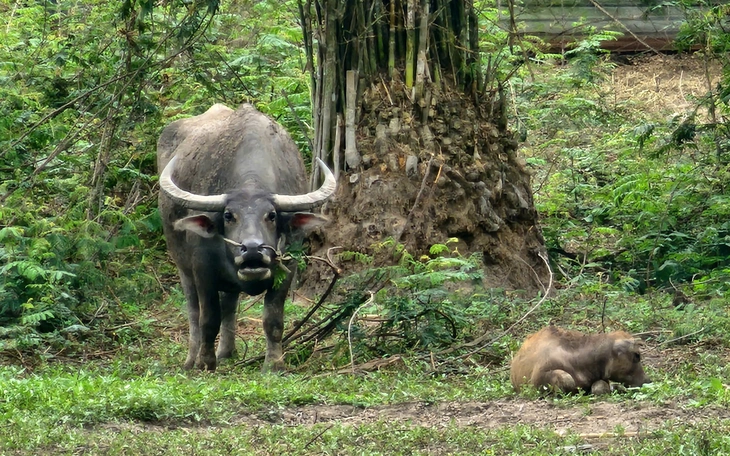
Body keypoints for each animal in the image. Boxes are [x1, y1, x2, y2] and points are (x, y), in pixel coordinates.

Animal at [159, 103, 336, 370]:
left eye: (271, 215)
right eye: (228, 215)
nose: (252, 250)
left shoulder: (288, 266)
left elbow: (273, 318)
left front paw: (274, 364)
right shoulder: (202, 268)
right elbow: (208, 318)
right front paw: (205, 363)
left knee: (230, 303)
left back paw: (226, 351)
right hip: (183, 266)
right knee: (193, 310)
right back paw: (191, 359)